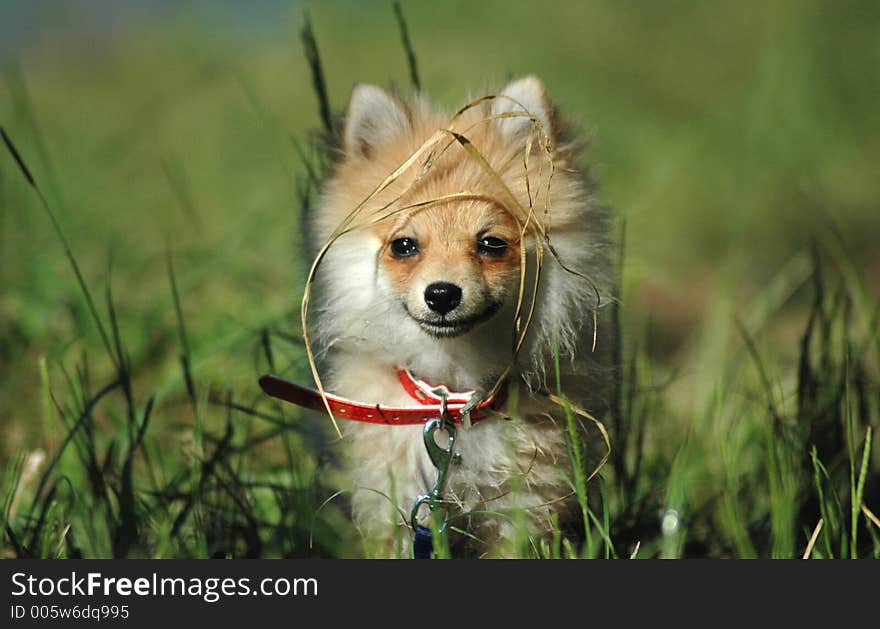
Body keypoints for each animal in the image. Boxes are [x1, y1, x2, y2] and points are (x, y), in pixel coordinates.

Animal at [312, 77, 616, 556]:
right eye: (404, 246)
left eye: (492, 244)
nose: (441, 294)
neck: (453, 398)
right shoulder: (395, 509)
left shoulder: (521, 509)